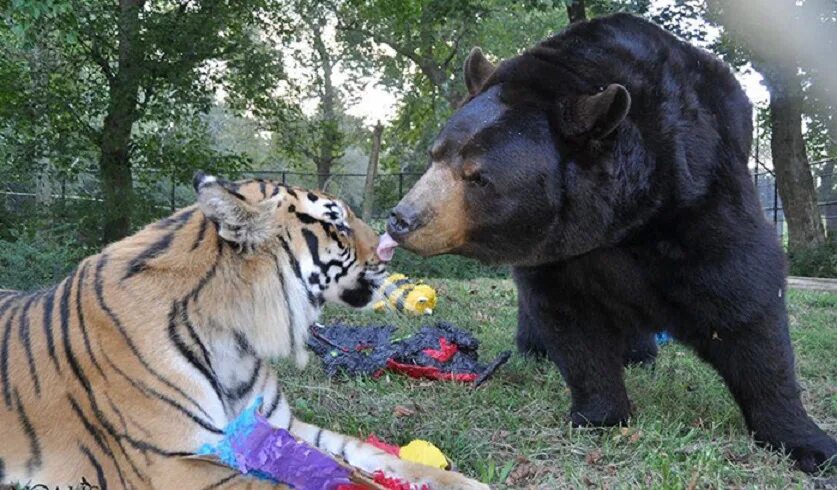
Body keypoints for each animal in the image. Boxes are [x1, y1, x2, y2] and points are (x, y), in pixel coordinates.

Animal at [0, 173, 486, 490]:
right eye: (337, 224)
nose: (390, 248)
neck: (235, 339)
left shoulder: (279, 424)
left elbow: (368, 453)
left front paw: (461, 482)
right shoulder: (170, 463)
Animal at [386, 13, 836, 470]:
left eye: (479, 176)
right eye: (436, 155)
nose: (402, 218)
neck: (620, 219)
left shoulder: (697, 194)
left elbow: (744, 301)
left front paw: (806, 440)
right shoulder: (557, 251)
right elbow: (571, 321)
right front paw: (598, 413)